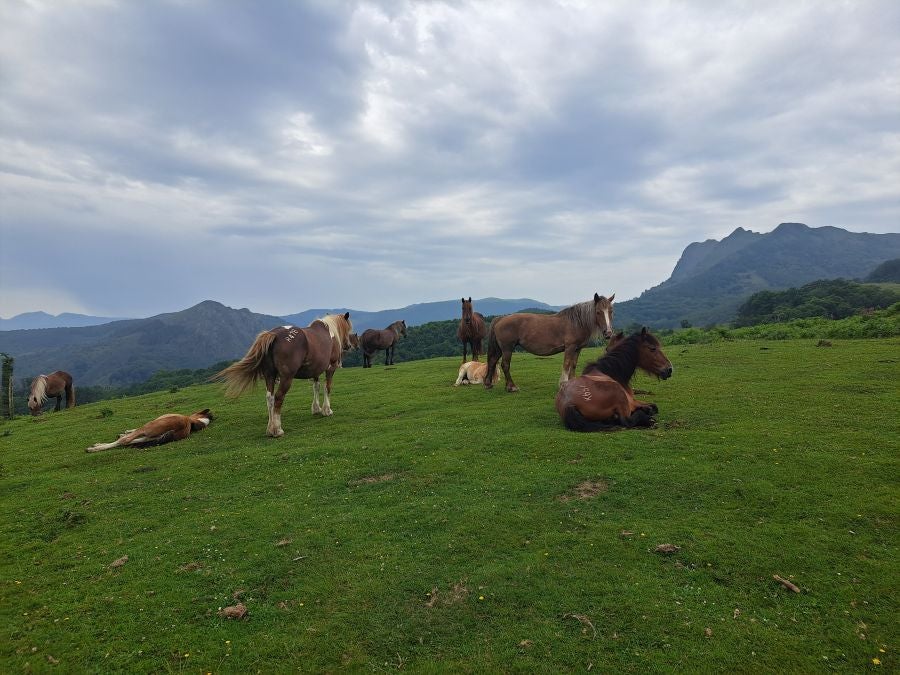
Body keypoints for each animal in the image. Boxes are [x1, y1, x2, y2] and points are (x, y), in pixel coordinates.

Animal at [216, 312, 354, 438]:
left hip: (270, 376)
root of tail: (274, 334)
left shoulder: (315, 371)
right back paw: (277, 430)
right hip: (286, 378)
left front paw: (316, 409)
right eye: (348, 328)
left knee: (270, 398)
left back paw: (270, 428)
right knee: (278, 397)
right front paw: (327, 410)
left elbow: (316, 387)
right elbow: (327, 388)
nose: (348, 345)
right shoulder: (330, 368)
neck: (329, 333)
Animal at [482, 294, 616, 394]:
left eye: (611, 311)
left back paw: (488, 384)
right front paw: (563, 384)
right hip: (507, 348)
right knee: (505, 365)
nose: (608, 333)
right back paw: (511, 387)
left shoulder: (577, 349)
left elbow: (573, 365)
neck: (577, 322)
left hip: (500, 349)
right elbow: (566, 364)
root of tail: (500, 318)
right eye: (598, 312)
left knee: (492, 361)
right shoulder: (570, 347)